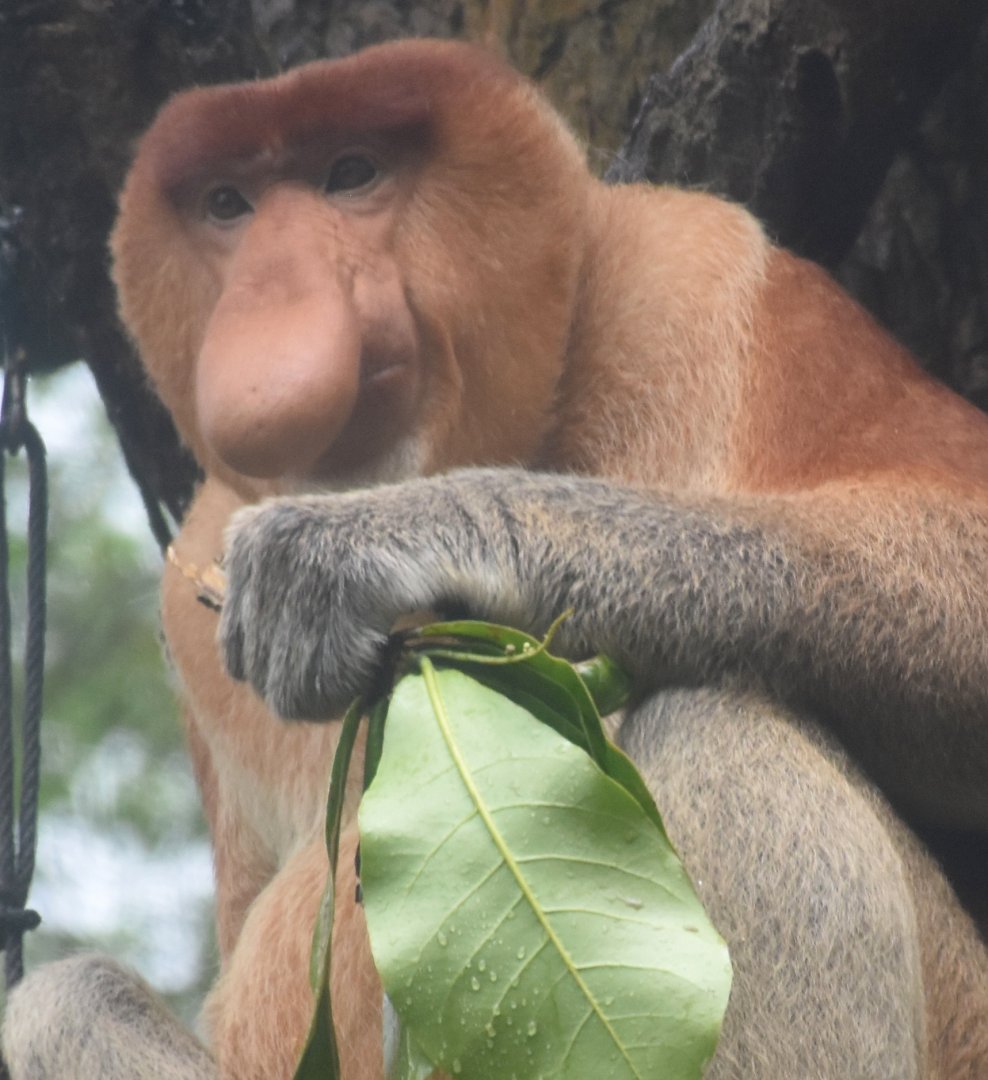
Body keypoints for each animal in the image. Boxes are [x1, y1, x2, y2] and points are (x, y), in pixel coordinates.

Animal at [4, 35, 988, 1080]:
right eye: (229, 204)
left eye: (352, 173)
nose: (272, 295)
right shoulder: (193, 567)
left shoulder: (705, 271)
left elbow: (963, 546)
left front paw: (364, 545)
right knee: (60, 1001)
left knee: (713, 723)